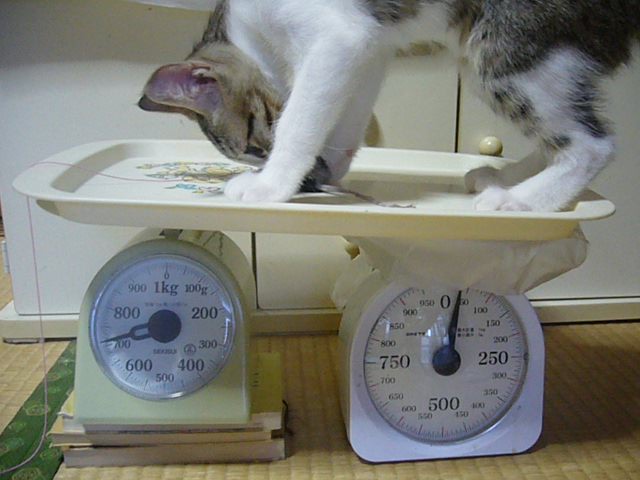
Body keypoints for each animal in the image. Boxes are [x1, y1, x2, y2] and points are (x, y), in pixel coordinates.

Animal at [140, 0, 639, 211]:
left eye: (255, 135)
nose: (313, 181)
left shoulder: (336, 36)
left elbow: (301, 120)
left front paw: (271, 186)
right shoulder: (367, 46)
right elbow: (348, 113)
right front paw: (328, 168)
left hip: (503, 49)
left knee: (593, 145)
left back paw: (520, 201)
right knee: (561, 135)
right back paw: (502, 178)